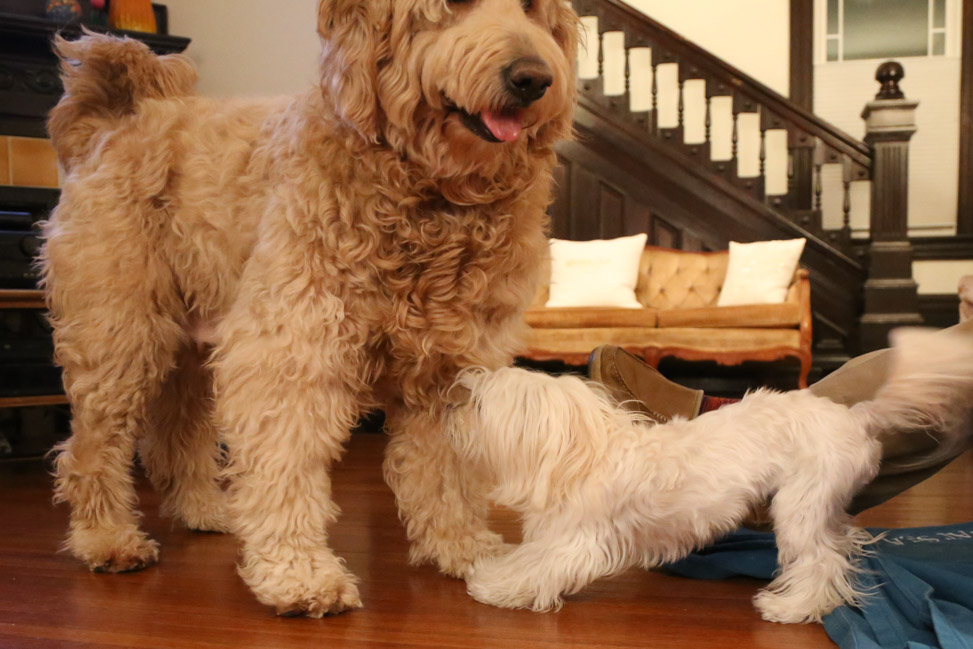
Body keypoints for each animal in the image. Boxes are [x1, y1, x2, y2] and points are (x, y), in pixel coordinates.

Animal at [41, 0, 576, 616]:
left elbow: (448, 472)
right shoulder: (292, 348)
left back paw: (203, 510)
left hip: (194, 341)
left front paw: (463, 547)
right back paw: (107, 537)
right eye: (452, 9)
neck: (429, 198)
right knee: (93, 445)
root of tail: (115, 120)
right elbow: (286, 462)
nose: (533, 77)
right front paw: (298, 574)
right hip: (121, 332)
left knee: (175, 432)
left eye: (534, 11)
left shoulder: (451, 369)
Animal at [448, 330, 972, 624]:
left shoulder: (576, 541)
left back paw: (792, 608)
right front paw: (493, 573)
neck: (581, 453)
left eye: (480, 405)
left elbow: (539, 568)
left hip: (798, 505)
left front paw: (496, 589)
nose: (453, 401)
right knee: (838, 548)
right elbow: (527, 557)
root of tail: (855, 417)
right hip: (824, 506)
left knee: (821, 562)